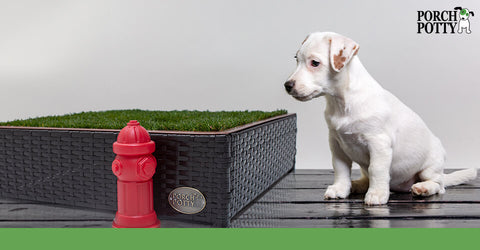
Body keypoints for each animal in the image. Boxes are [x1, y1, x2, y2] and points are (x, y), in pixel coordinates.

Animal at [284, 31, 476, 204]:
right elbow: (340, 169)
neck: (342, 102)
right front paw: (340, 188)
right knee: (366, 177)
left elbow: (376, 169)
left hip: (430, 167)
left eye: (315, 63)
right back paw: (357, 185)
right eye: (296, 59)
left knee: (438, 184)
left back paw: (423, 187)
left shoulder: (379, 143)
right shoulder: (336, 144)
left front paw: (376, 194)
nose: (287, 85)